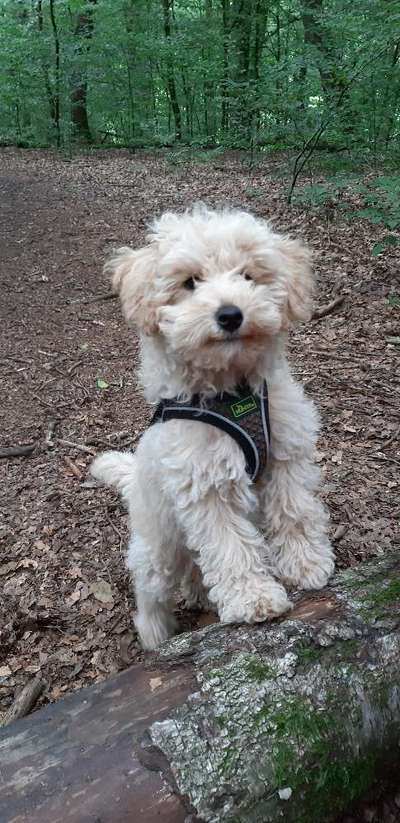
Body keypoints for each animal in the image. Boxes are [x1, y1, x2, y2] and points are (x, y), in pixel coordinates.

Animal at [91, 206, 334, 652]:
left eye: (248, 275)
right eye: (190, 282)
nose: (230, 314)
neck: (231, 390)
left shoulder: (286, 455)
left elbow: (295, 511)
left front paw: (306, 564)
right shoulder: (206, 483)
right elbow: (230, 544)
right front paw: (253, 598)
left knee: (194, 571)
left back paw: (200, 594)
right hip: (158, 548)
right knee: (148, 591)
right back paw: (155, 634)